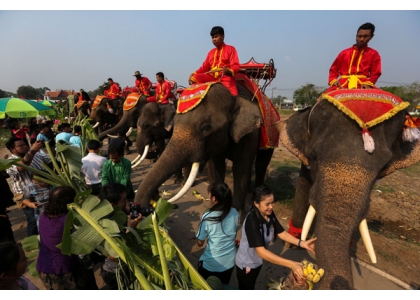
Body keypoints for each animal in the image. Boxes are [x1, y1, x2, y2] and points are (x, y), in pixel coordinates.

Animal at [133, 82, 274, 213]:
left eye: (206, 128)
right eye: (175, 122)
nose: (156, 197)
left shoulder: (249, 134)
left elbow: (242, 169)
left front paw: (237, 215)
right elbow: (215, 167)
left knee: (262, 163)